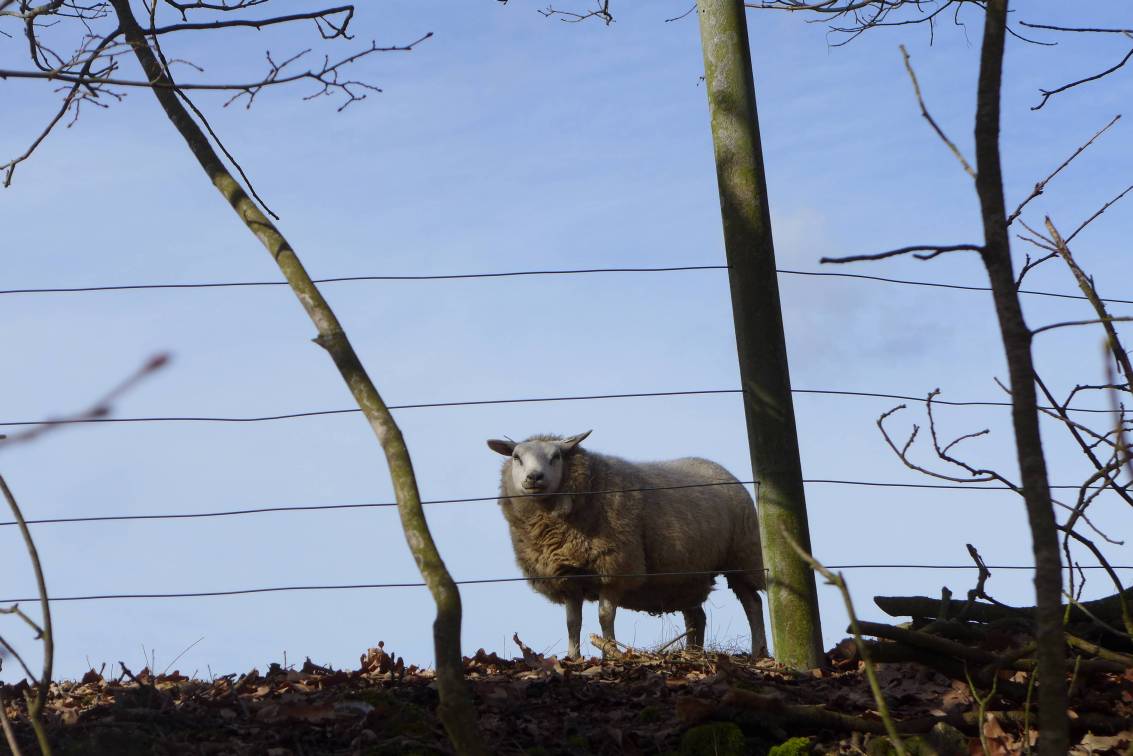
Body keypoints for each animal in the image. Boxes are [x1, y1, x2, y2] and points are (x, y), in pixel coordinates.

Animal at [487, 428, 770, 657]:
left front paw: (609, 653)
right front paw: (573, 658)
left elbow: (605, 617)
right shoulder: (568, 576)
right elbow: (572, 623)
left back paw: (758, 652)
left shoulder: (614, 567)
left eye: (556, 456)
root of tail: (719, 469)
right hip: (686, 574)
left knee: (752, 603)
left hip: (742, 557)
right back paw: (693, 653)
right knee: (696, 617)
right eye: (516, 457)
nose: (534, 477)